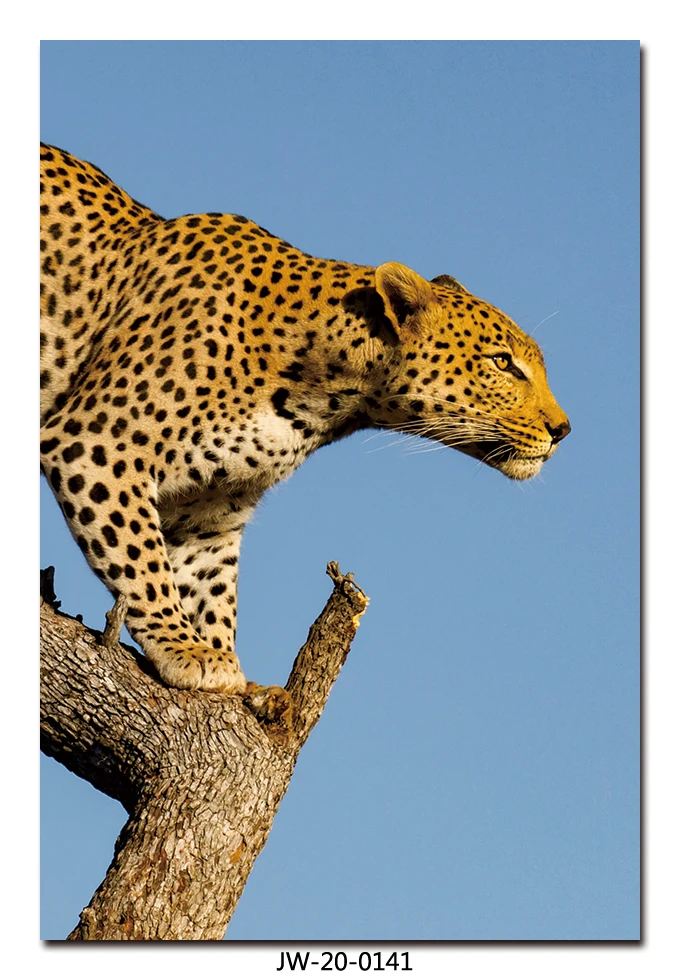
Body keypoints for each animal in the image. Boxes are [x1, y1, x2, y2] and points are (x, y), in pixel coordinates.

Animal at [40, 143, 570, 719]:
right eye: (502, 363)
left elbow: (209, 589)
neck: (328, 398)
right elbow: (141, 560)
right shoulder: (96, 446)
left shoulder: (210, 514)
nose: (564, 429)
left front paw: (233, 673)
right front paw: (185, 647)